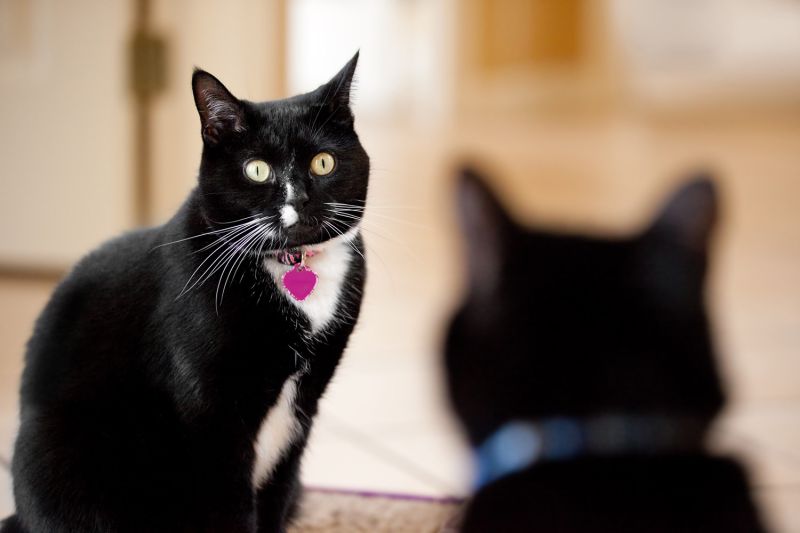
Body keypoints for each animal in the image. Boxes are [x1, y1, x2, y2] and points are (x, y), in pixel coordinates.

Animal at [0, 51, 368, 532]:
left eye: (323, 163)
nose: (300, 201)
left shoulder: (303, 408)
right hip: (50, 449)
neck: (292, 266)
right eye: (256, 170)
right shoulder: (211, 418)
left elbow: (276, 492)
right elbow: (229, 508)